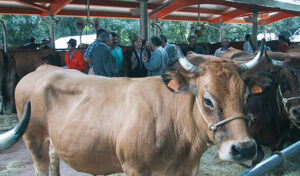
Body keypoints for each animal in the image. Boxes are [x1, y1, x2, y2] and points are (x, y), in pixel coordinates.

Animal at [13, 46, 270, 175]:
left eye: (247, 96)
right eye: (207, 100)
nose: (244, 149)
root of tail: (44, 68)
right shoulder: (135, 168)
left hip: (54, 143)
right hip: (33, 140)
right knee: (41, 166)